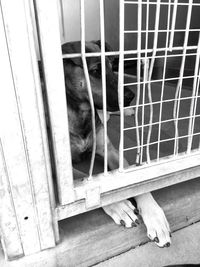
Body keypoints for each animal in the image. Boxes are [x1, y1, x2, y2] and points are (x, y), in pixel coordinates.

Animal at [61, 40, 171, 249]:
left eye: (113, 67)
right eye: (96, 70)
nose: (131, 96)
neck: (81, 112)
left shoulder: (111, 151)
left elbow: (131, 180)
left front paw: (155, 217)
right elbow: (91, 187)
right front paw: (119, 205)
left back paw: (127, 111)